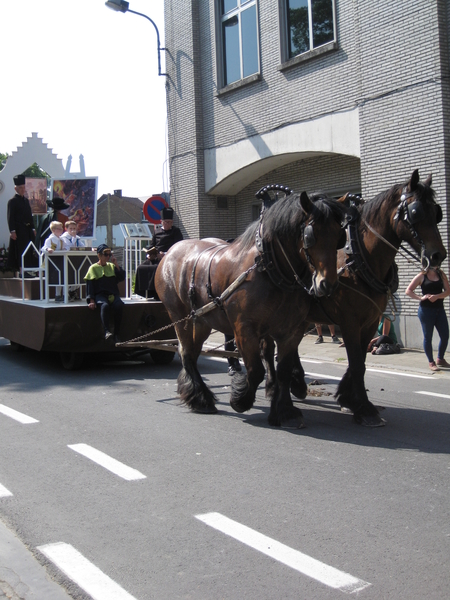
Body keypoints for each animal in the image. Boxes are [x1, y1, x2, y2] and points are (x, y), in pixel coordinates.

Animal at [155, 191, 348, 426]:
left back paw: (198, 396)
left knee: (191, 352)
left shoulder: (292, 331)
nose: (327, 284)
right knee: (186, 352)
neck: (270, 269)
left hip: (201, 320)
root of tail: (170, 252)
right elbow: (255, 370)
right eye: (310, 235)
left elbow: (283, 370)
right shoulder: (244, 330)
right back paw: (201, 399)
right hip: (179, 316)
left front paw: (284, 410)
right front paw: (240, 399)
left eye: (339, 235)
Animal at [264, 170, 446, 426]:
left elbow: (360, 361)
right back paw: (274, 387)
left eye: (436, 212)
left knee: (290, 347)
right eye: (416, 212)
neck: (360, 259)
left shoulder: (370, 321)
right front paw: (364, 408)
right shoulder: (349, 321)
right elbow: (357, 363)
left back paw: (296, 384)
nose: (438, 254)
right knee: (268, 348)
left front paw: (347, 398)